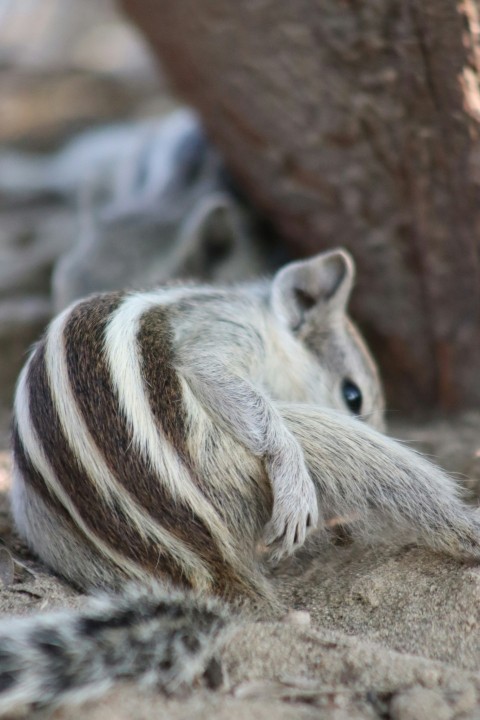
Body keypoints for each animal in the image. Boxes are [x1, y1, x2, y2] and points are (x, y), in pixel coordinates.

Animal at [2, 249, 480, 716]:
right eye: (352, 395)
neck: (260, 316)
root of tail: (206, 569)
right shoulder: (224, 333)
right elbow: (214, 374)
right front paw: (291, 472)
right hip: (251, 462)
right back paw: (464, 528)